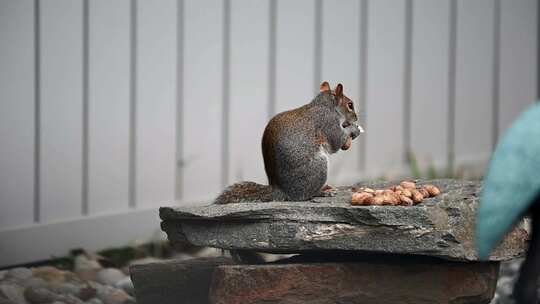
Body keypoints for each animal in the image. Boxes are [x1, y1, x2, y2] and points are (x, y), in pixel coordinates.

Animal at [215, 81, 362, 204]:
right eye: (350, 105)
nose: (356, 117)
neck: (325, 105)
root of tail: (282, 191)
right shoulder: (328, 122)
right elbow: (336, 142)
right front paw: (353, 132)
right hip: (318, 166)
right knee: (304, 196)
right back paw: (321, 192)